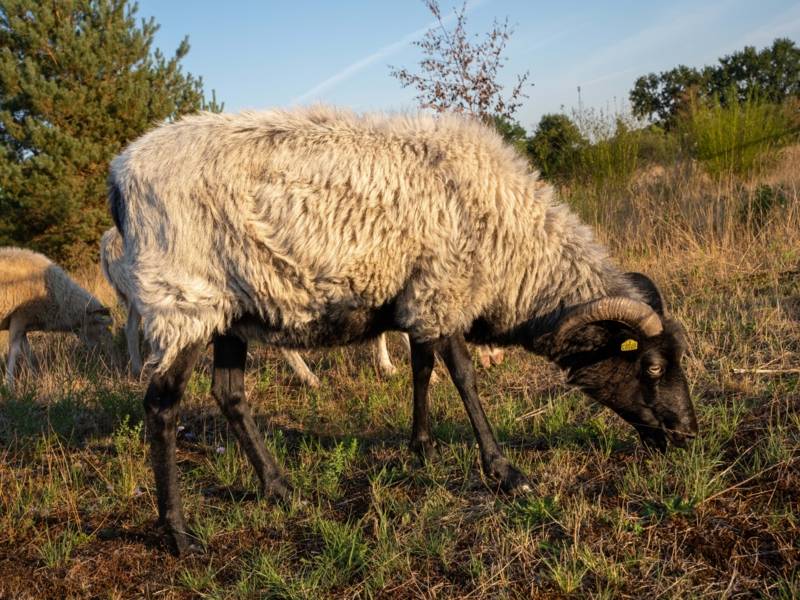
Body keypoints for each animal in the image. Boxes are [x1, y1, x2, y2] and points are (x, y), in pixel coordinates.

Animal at [1, 247, 113, 392]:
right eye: (99, 328)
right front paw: (8, 384)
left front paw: (35, 377)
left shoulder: (24, 324)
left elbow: (27, 352)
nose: (101, 355)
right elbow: (14, 350)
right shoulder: (18, 316)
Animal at [108, 106, 698, 554]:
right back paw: (180, 535)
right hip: (182, 301)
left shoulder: (422, 297)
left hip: (231, 309)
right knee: (162, 408)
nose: (689, 436)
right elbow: (463, 376)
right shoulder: (445, 287)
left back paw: (279, 489)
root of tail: (120, 177)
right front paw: (505, 472)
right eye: (651, 366)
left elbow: (422, 367)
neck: (516, 254)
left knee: (229, 395)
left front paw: (422, 449)